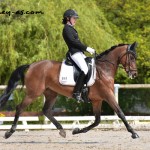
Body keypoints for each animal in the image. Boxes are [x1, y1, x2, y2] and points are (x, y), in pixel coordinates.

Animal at [0, 41, 139, 139]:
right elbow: (120, 113)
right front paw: (133, 133)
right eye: (132, 58)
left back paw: (62, 130)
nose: (134, 74)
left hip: (51, 93)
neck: (103, 70)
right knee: (20, 108)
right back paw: (9, 133)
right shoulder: (108, 95)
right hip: (33, 93)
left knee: (46, 111)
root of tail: (32, 65)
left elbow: (97, 121)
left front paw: (77, 131)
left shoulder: (97, 100)